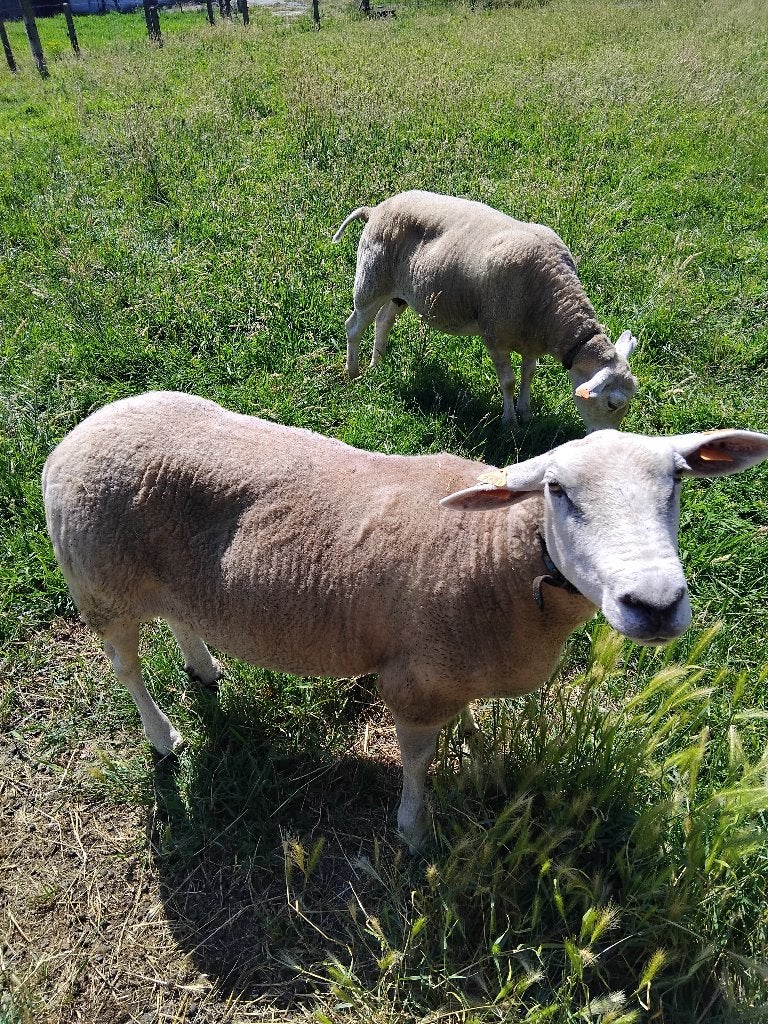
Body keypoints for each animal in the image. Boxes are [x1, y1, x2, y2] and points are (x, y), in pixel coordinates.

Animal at [42, 391, 768, 846]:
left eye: (678, 480)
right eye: (557, 490)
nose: (656, 604)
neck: (496, 550)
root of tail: (75, 438)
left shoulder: (453, 668)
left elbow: (464, 725)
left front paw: (476, 748)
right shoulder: (415, 680)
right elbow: (418, 762)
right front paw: (415, 830)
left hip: (168, 580)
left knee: (182, 617)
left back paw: (205, 667)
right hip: (101, 585)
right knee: (127, 667)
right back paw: (163, 735)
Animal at [333, 190, 638, 432]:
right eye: (613, 403)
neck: (554, 306)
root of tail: (375, 209)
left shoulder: (531, 339)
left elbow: (528, 374)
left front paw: (526, 414)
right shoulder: (495, 335)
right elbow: (508, 381)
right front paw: (510, 423)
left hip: (399, 293)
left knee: (383, 321)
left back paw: (377, 365)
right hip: (372, 278)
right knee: (354, 326)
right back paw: (353, 372)